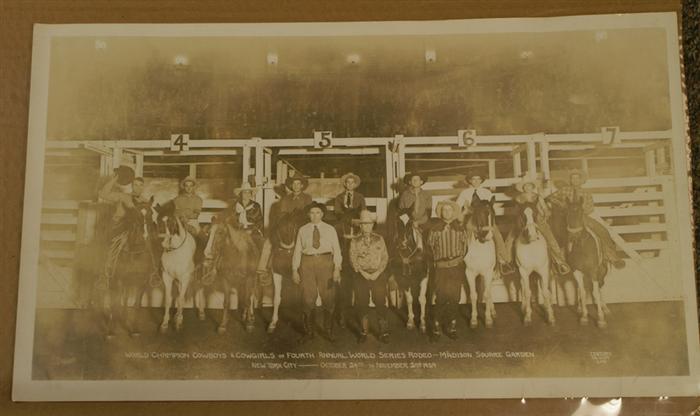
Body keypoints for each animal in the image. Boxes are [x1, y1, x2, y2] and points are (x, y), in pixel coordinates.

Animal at [464, 195, 498, 328]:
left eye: (493, 215)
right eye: (480, 213)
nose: (488, 235)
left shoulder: (488, 273)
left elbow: (487, 295)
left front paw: (488, 319)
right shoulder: (469, 273)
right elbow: (473, 295)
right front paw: (473, 319)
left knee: (488, 292)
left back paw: (493, 311)